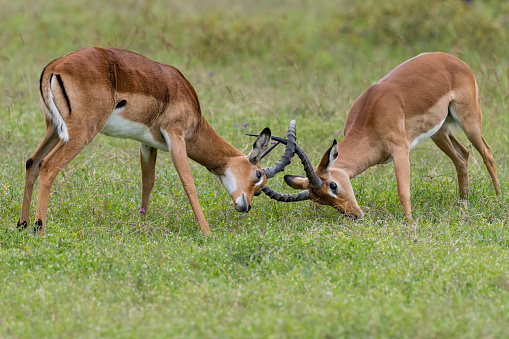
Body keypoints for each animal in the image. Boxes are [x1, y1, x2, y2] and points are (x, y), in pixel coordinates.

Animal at [18, 47, 298, 236]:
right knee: (49, 166)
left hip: (54, 129)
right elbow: (188, 182)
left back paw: (22, 224)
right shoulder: (175, 135)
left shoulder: (148, 143)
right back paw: (39, 230)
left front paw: (141, 222)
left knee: (32, 162)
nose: (245, 206)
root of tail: (55, 65)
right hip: (81, 132)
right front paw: (207, 232)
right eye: (258, 175)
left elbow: (147, 182)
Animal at [258, 52, 500, 223]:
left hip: (469, 120)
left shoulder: (400, 149)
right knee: (462, 156)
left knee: (487, 153)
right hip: (439, 131)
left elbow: (403, 191)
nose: (355, 215)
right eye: (321, 199)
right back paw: (463, 201)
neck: (371, 115)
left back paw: (498, 198)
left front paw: (410, 224)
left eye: (333, 185)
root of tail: (455, 60)